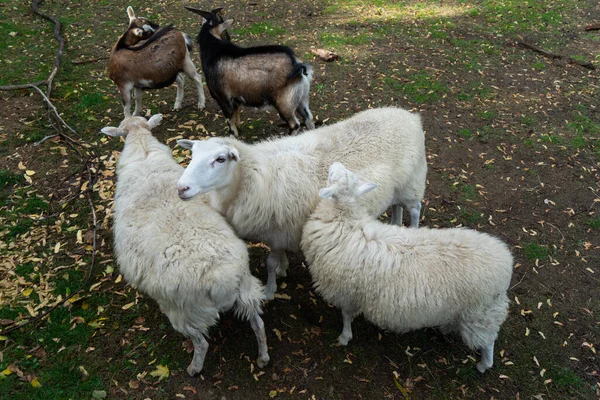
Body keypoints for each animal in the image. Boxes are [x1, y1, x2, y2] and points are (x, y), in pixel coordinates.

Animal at [101, 115, 270, 376]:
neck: (144, 155)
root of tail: (222, 280)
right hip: (246, 290)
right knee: (258, 323)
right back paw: (263, 357)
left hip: (185, 311)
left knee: (201, 343)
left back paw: (194, 368)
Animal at [173, 108, 426, 298]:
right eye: (192, 154)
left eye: (220, 159)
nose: (181, 188)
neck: (251, 176)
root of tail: (408, 115)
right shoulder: (279, 230)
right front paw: (284, 269)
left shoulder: (276, 232)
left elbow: (270, 263)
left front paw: (270, 290)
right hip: (396, 189)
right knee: (396, 206)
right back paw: (396, 224)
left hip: (412, 185)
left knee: (414, 210)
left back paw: (413, 229)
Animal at [302, 162, 512, 372]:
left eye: (332, 176)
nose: (334, 164)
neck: (344, 219)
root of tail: (506, 261)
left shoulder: (345, 291)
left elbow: (345, 316)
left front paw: (344, 337)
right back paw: (447, 328)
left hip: (480, 314)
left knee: (488, 342)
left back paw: (483, 365)